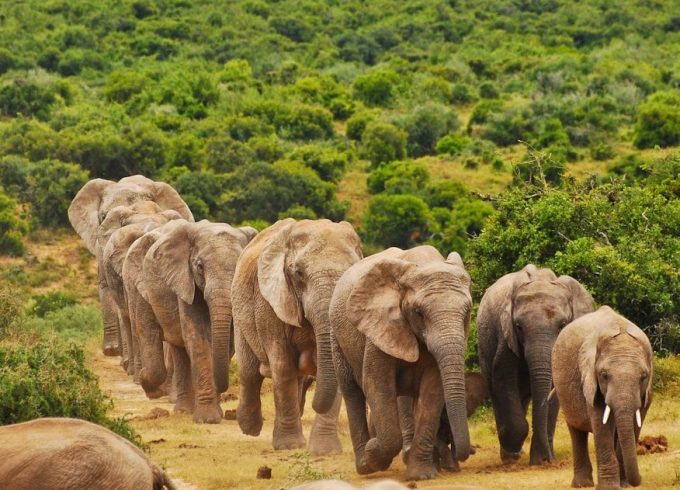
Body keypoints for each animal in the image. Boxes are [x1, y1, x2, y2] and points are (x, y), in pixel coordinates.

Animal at [129, 219, 256, 423]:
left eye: (239, 265)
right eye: (199, 266)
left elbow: (228, 343)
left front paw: (215, 413)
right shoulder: (185, 281)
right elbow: (198, 341)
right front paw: (207, 419)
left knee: (178, 348)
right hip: (144, 286)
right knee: (156, 338)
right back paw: (167, 399)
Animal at [232, 218, 362, 454]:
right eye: (299, 273)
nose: (315, 404)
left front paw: (325, 451)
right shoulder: (269, 303)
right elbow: (283, 367)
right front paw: (289, 446)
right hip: (239, 309)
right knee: (249, 372)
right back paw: (249, 428)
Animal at [330, 245, 473, 480]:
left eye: (468, 312)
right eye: (419, 313)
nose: (465, 453)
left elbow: (432, 392)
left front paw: (421, 476)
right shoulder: (378, 327)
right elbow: (377, 385)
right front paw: (373, 452)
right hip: (336, 336)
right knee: (352, 392)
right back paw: (364, 465)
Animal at [476, 264, 594, 465]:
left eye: (563, 324)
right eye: (518, 327)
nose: (549, 460)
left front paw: (541, 459)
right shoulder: (505, 336)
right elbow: (503, 377)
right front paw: (513, 458)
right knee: (496, 390)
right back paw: (511, 454)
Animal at [552, 306, 653, 489]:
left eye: (643, 376)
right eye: (604, 375)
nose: (640, 479)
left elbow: (635, 423)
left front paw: (624, 485)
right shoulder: (591, 383)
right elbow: (601, 423)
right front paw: (610, 487)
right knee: (576, 431)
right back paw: (582, 484)